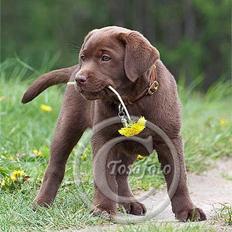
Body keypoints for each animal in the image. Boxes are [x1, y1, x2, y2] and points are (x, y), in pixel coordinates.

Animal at [22, 25, 207, 221]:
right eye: (83, 57)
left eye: (105, 58)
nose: (79, 79)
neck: (131, 100)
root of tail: (73, 70)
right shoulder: (103, 138)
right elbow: (104, 176)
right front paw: (103, 208)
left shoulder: (170, 138)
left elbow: (179, 178)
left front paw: (188, 210)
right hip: (67, 125)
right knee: (55, 167)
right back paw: (41, 203)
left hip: (128, 147)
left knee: (121, 175)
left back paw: (129, 203)